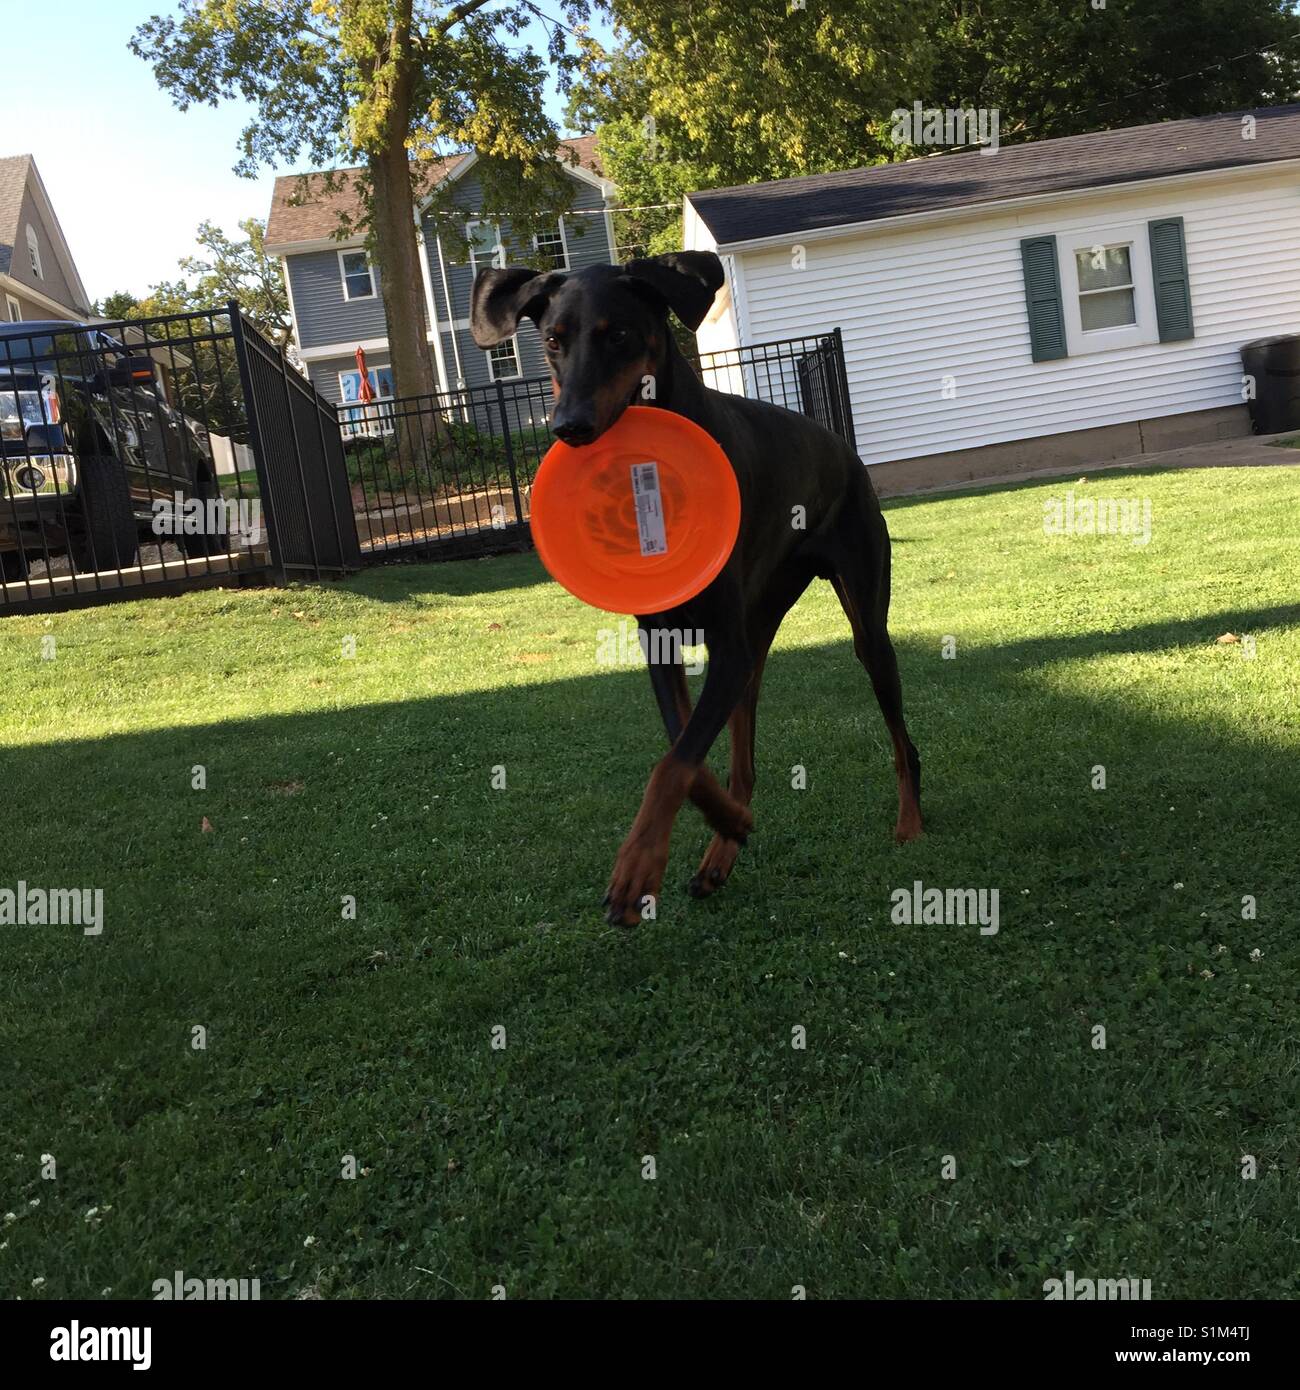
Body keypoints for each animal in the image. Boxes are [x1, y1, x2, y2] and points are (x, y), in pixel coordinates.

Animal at [472, 252, 917, 922]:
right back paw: (722, 850)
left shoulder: (726, 649)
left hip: (865, 617)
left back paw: (909, 823)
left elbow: (672, 762)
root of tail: (844, 450)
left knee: (898, 730)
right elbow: (682, 748)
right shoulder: (664, 642)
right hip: (758, 637)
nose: (567, 427)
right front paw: (727, 825)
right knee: (744, 759)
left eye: (619, 335)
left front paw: (635, 870)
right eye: (551, 340)